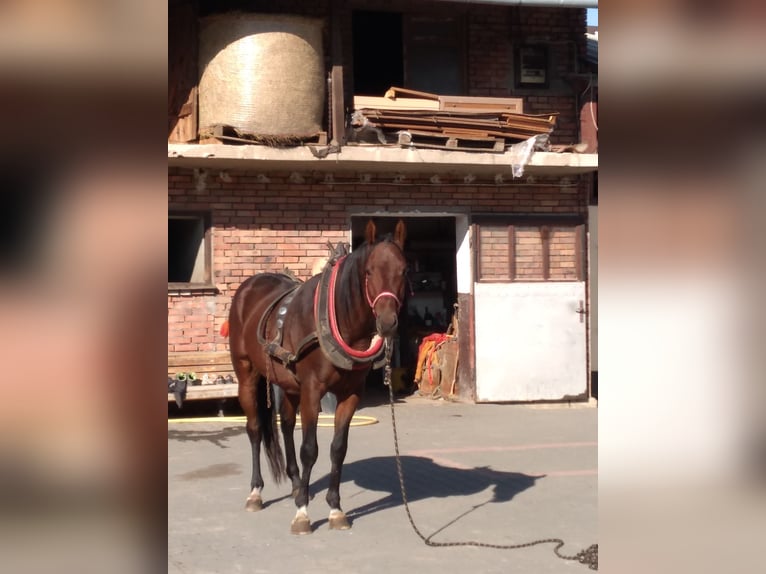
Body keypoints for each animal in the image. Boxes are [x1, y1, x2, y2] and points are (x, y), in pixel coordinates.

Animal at [226, 220, 412, 536]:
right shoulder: (312, 391)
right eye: (368, 271)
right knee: (254, 430)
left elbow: (338, 449)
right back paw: (256, 493)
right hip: (247, 375)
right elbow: (310, 449)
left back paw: (296, 485)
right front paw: (302, 514)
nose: (387, 323)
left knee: (287, 425)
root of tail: (249, 286)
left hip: (288, 385)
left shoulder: (350, 394)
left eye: (404, 270)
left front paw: (335, 509)